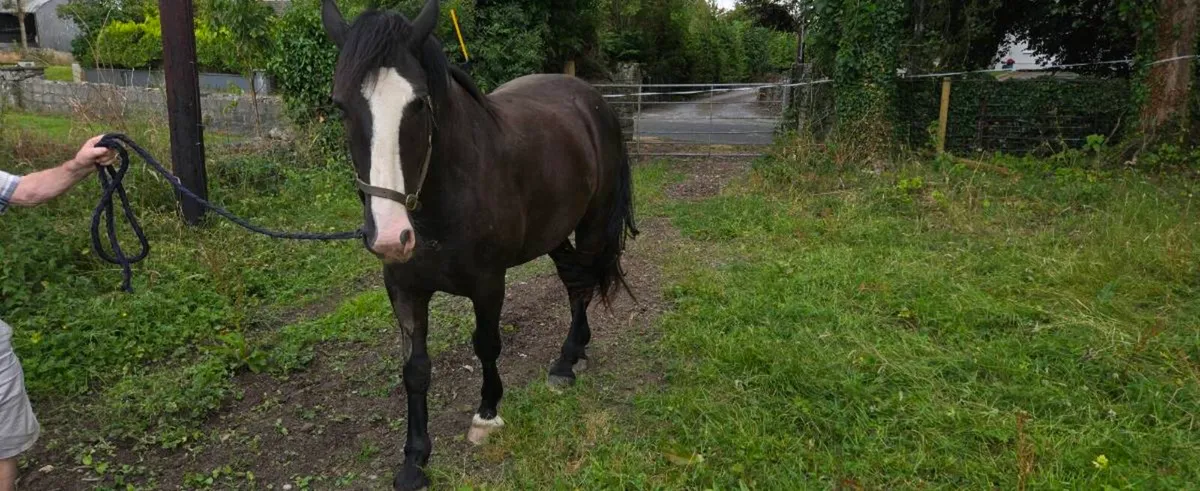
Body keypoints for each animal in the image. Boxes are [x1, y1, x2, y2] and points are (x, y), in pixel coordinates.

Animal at [320, 0, 638, 488]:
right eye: (341, 106)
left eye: (419, 104)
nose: (391, 236)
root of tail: (592, 98)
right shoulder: (404, 289)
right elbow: (415, 369)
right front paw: (414, 460)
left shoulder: (488, 283)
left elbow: (486, 343)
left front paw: (487, 415)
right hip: (553, 231)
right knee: (573, 281)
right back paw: (577, 349)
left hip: (591, 223)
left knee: (583, 283)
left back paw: (566, 362)